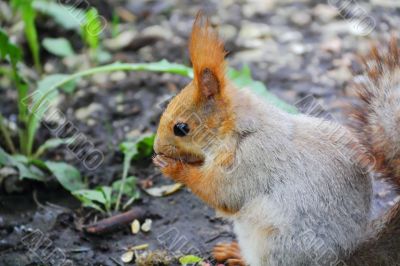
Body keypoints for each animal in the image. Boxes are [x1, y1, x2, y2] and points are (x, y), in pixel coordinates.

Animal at [152, 15, 398, 266]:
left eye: (181, 128)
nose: (156, 147)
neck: (238, 131)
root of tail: (345, 256)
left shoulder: (248, 163)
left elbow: (220, 192)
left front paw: (171, 167)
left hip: (274, 244)